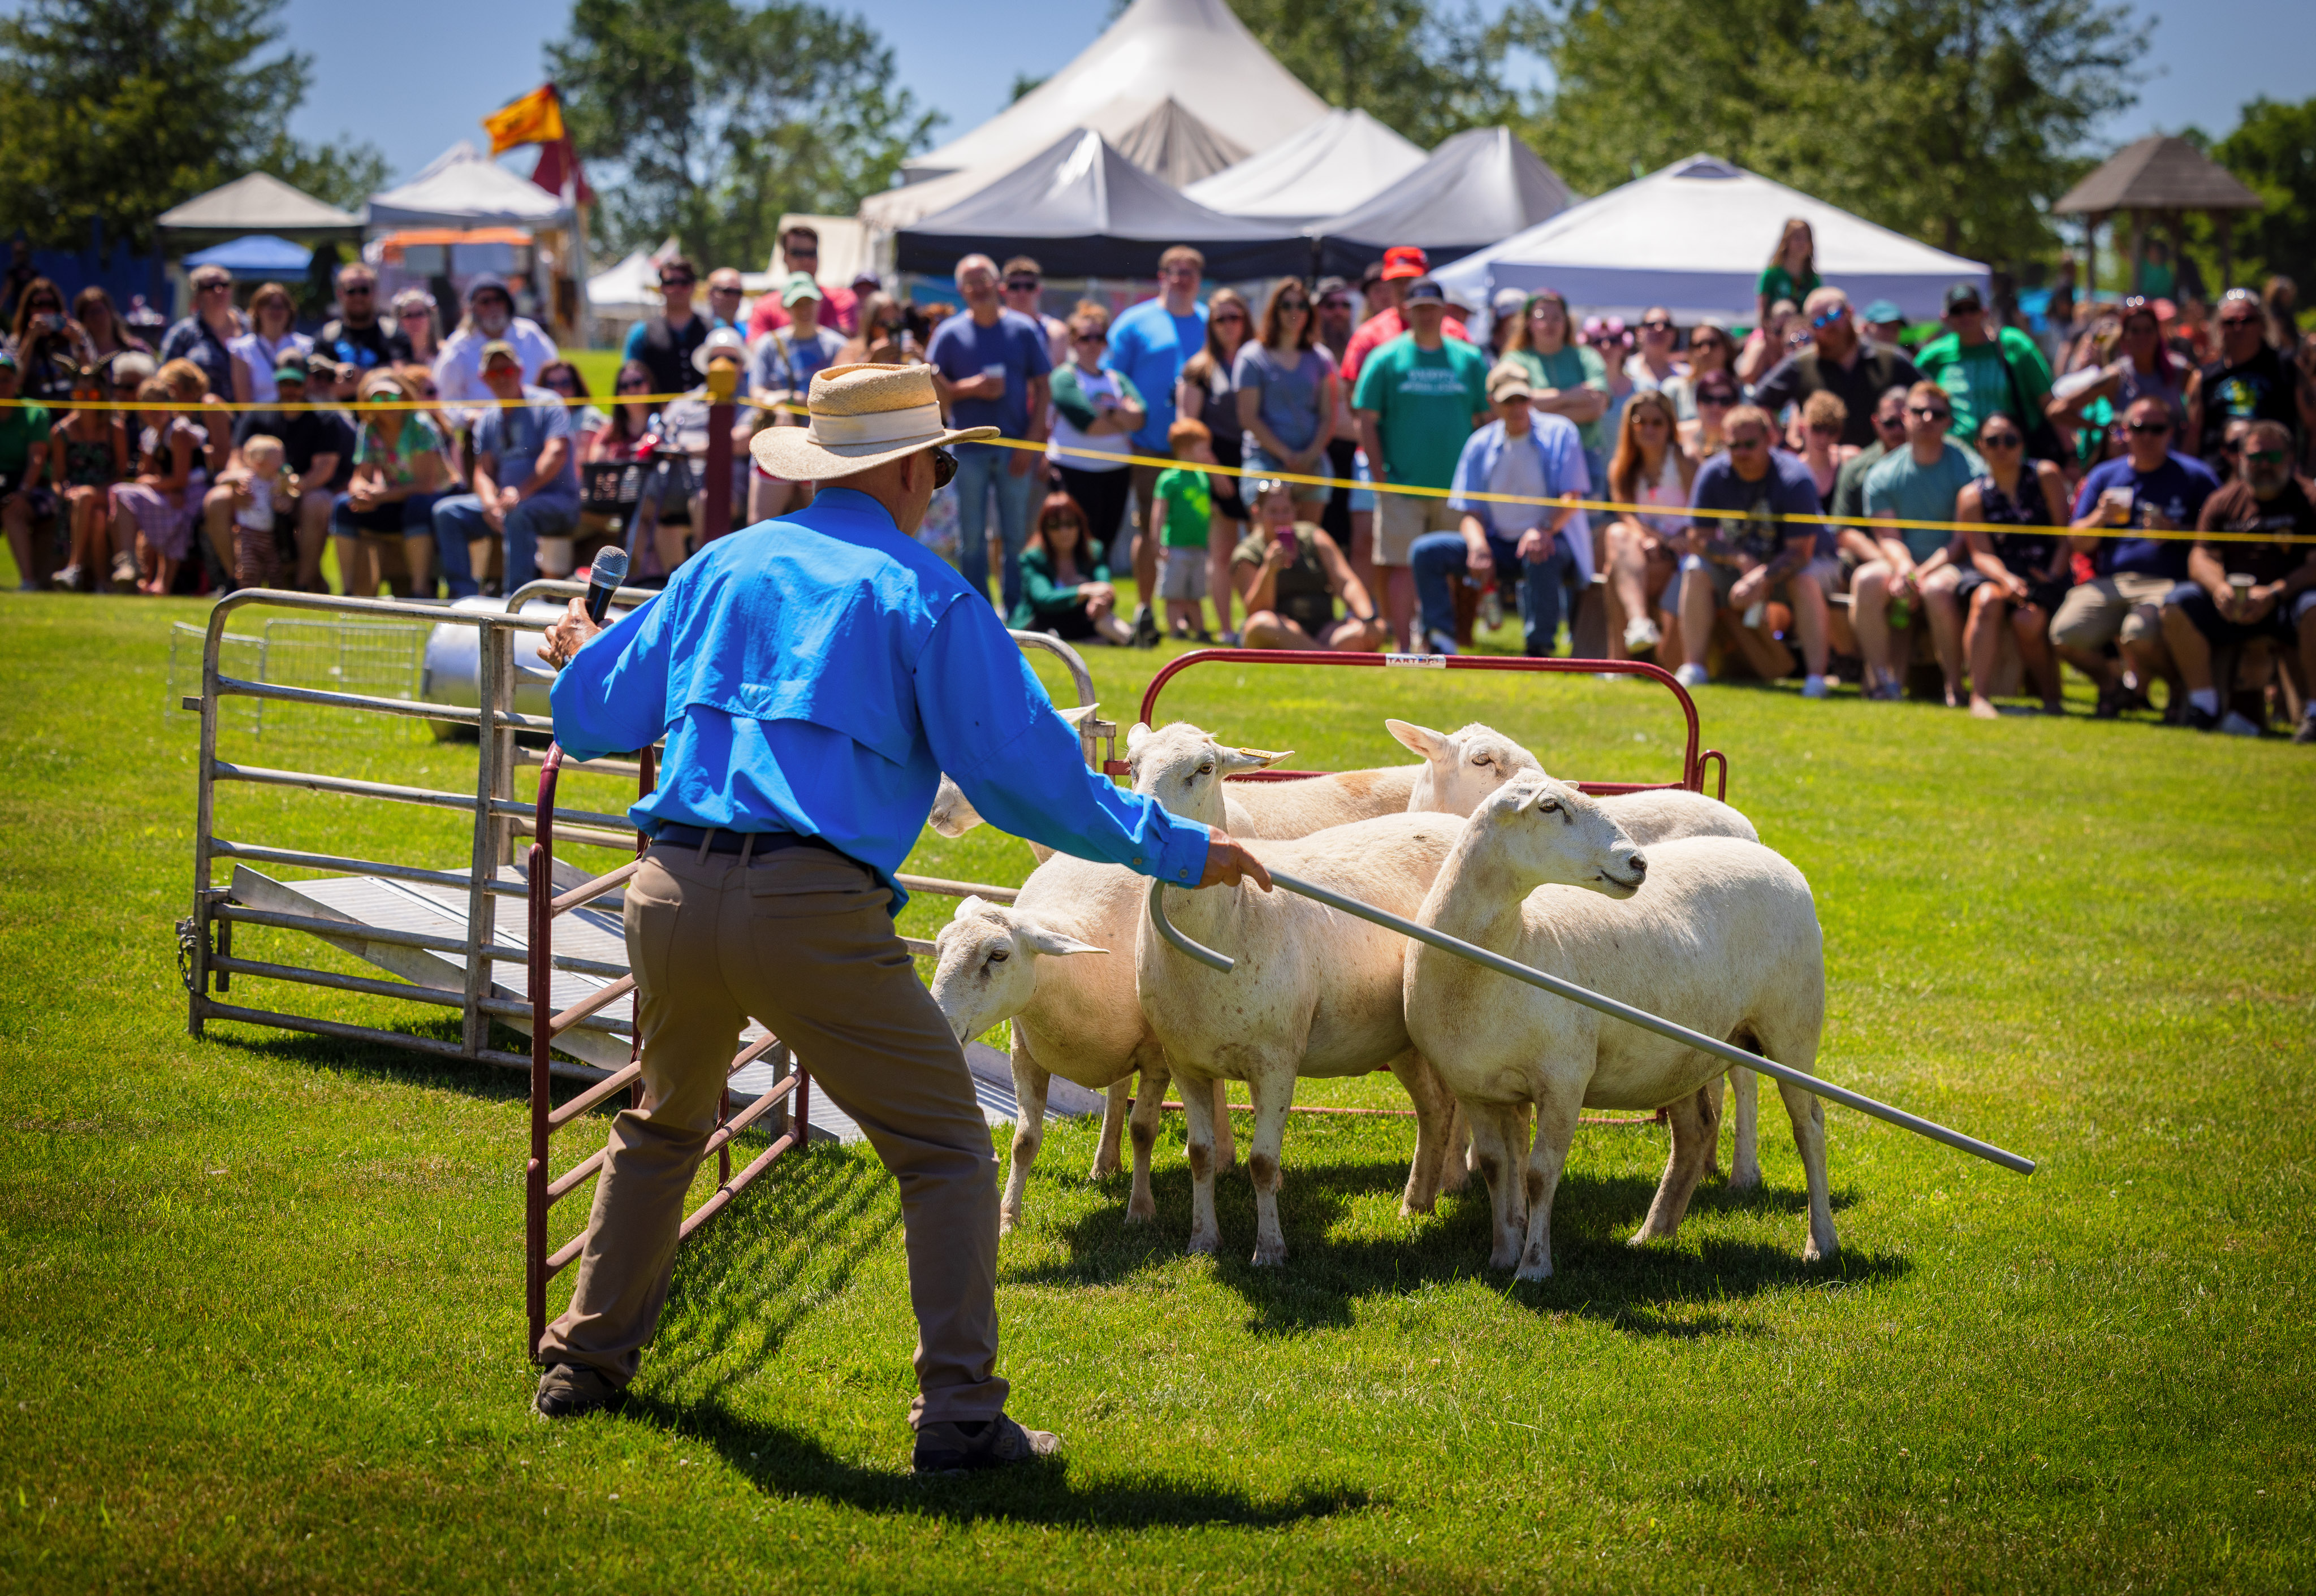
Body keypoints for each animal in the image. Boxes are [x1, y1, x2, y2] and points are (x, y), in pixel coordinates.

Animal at [1398, 773, 1834, 1278]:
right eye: (1550, 806)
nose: (1639, 862)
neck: (1508, 949)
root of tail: (1777, 859)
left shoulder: (1565, 1077)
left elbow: (1539, 1172)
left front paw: (1534, 1266)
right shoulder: (1476, 1088)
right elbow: (1494, 1165)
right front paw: (1502, 1254)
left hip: (1792, 1026)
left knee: (1809, 1126)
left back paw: (1821, 1242)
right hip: (1683, 1052)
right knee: (1696, 1132)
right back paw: (1653, 1232)